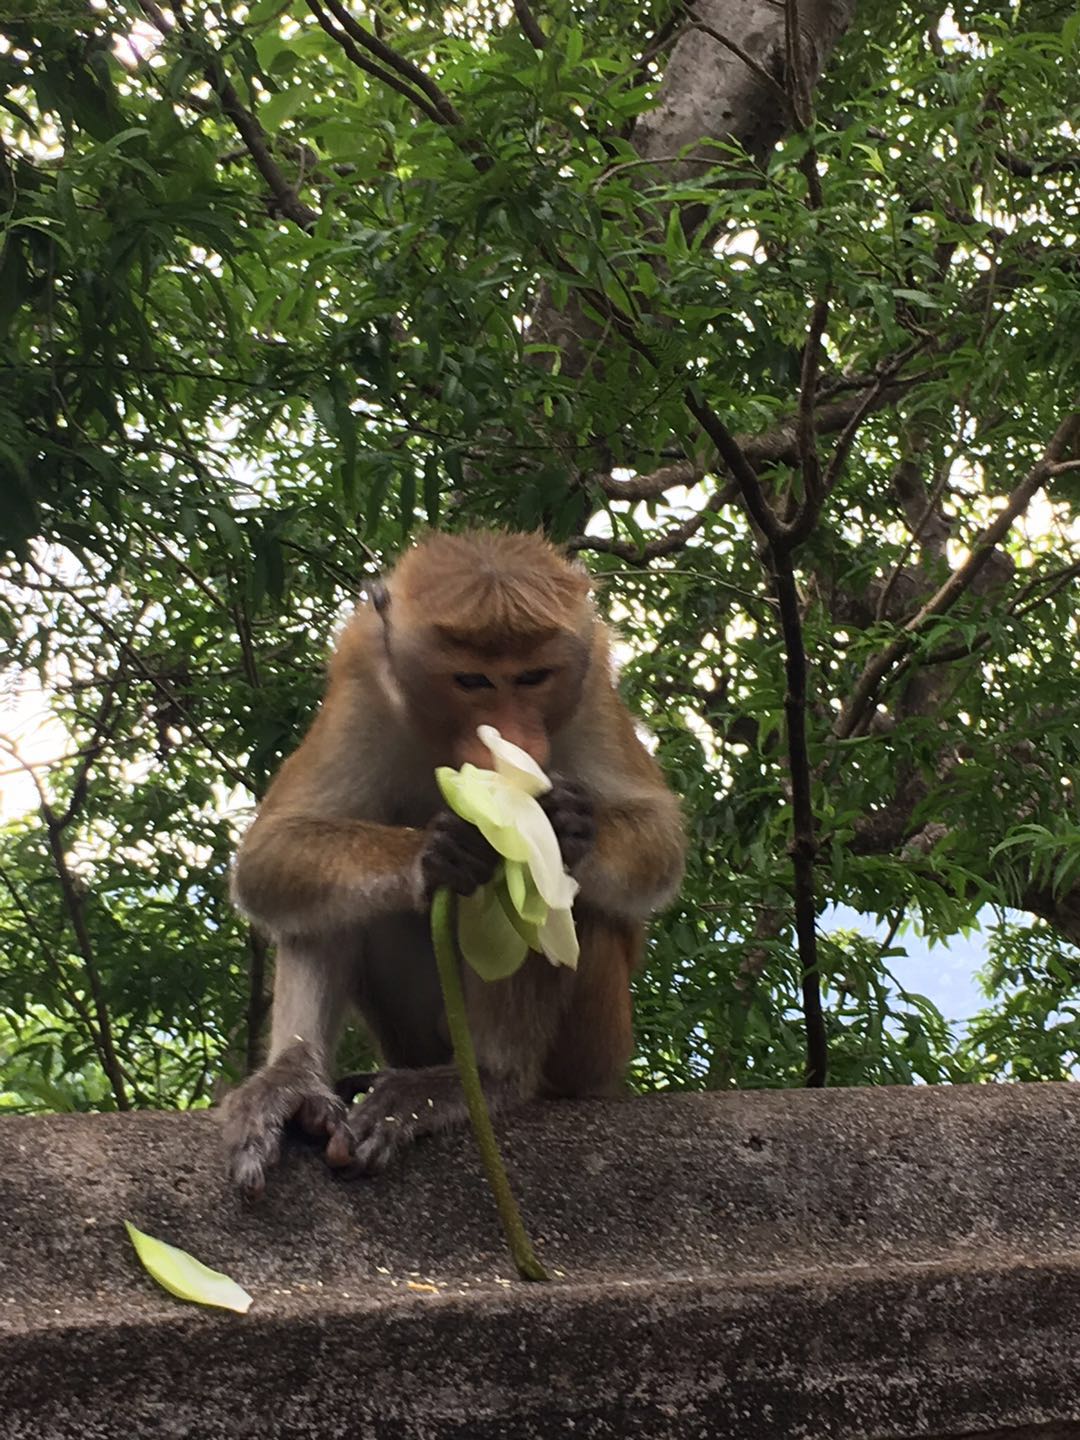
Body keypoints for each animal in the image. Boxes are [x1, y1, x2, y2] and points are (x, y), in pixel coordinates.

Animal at [221, 527, 685, 1192]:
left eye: (533, 676)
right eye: (472, 681)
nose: (511, 737)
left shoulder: (592, 687)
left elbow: (659, 838)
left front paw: (568, 829)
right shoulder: (363, 674)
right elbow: (271, 854)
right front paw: (438, 851)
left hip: (594, 1049)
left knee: (552, 904)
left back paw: (490, 1080)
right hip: (409, 1035)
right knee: (323, 903)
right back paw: (293, 1081)